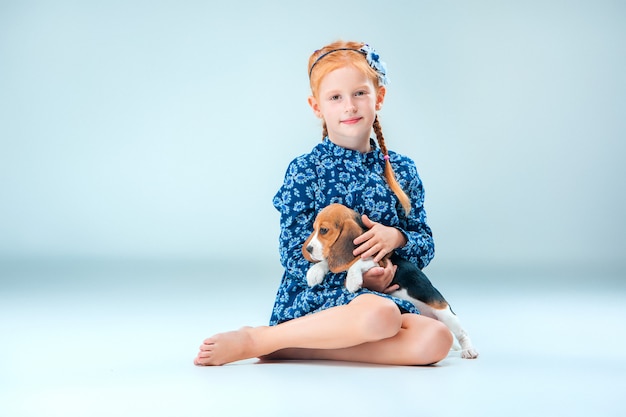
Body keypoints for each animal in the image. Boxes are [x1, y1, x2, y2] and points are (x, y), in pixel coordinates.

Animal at [302, 202, 478, 358]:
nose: (309, 249)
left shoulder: (379, 260)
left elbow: (358, 262)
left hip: (445, 313)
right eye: (314, 229)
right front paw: (315, 272)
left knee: (462, 333)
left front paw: (352, 280)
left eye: (324, 230)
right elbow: (329, 261)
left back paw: (469, 350)